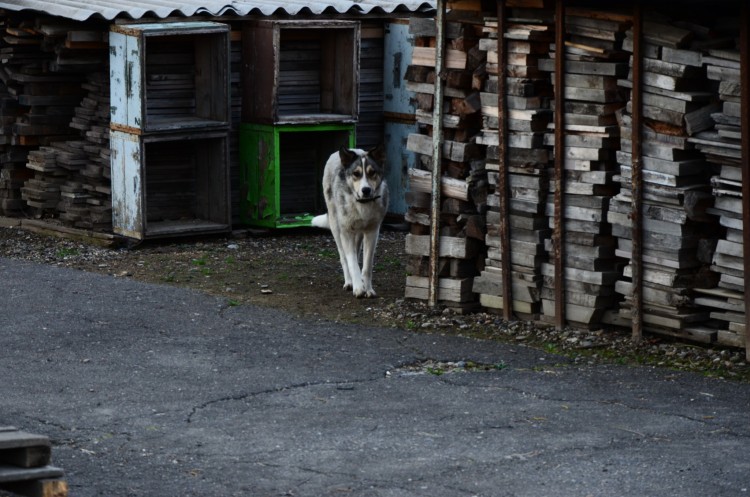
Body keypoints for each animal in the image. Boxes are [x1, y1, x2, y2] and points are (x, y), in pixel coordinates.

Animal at [312, 144, 390, 298]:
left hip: (358, 233)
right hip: (336, 227)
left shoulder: (372, 232)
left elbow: (367, 265)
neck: (362, 204)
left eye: (372, 173)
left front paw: (368, 289)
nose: (366, 190)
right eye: (356, 173)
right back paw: (349, 282)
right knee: (344, 257)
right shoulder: (346, 232)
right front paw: (358, 288)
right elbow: (352, 262)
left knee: (356, 252)